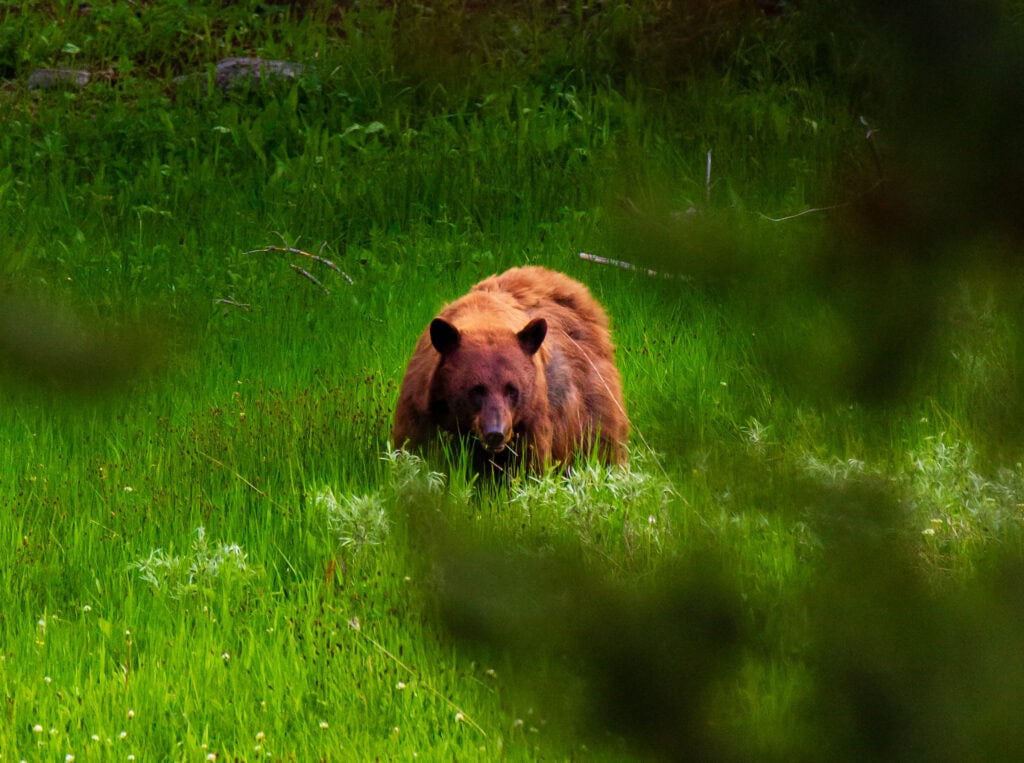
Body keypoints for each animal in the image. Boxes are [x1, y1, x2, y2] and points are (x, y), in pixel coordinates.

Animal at [392, 265, 629, 473]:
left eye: (512, 389)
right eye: (476, 389)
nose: (496, 433)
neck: (485, 318)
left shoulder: (532, 418)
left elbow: (528, 466)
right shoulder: (422, 404)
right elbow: (416, 449)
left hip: (592, 403)